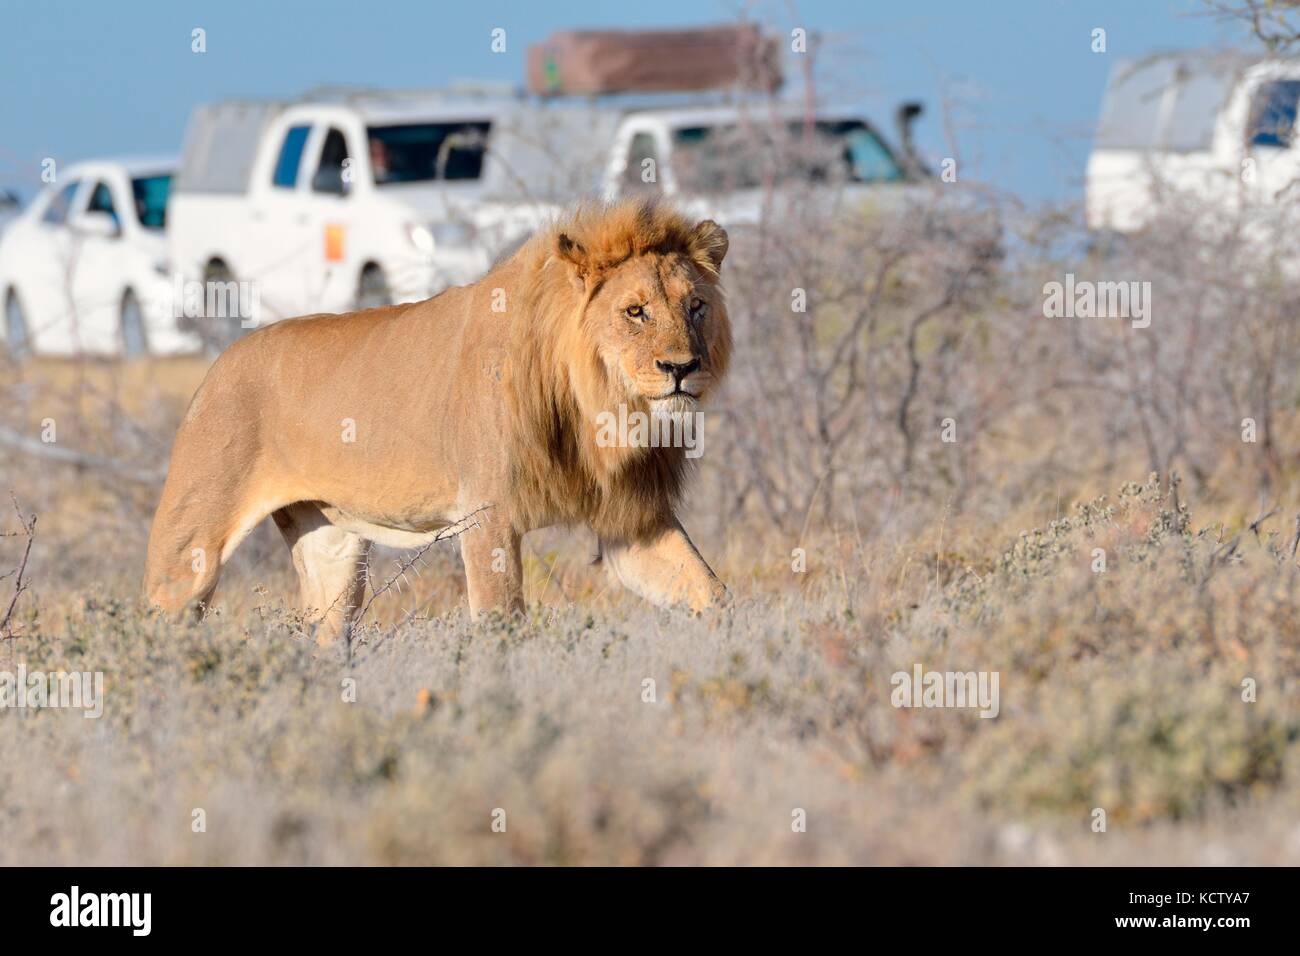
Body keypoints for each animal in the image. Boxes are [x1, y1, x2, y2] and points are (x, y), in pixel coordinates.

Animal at [144, 197, 733, 639]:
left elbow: (711, 592)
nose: (682, 368)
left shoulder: (630, 520)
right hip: (190, 547)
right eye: (635, 312)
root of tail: (217, 364)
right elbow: (501, 625)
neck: (600, 406)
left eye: (696, 306)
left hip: (332, 549)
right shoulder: (488, 516)